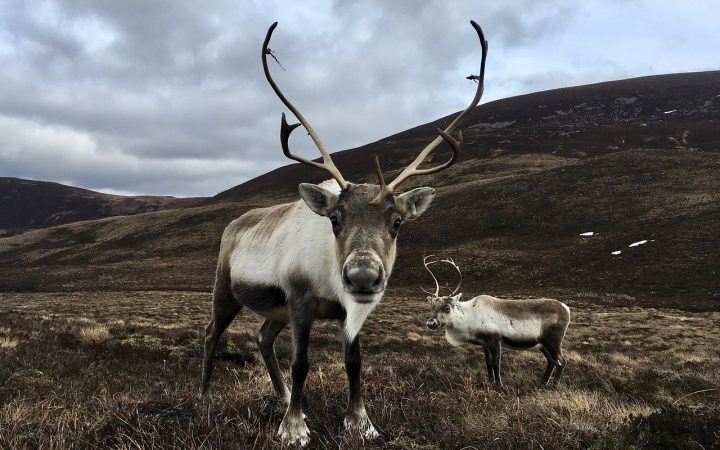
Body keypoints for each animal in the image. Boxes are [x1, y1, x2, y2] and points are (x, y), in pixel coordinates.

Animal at [200, 21, 489, 446]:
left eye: (397, 221)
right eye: (334, 219)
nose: (363, 276)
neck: (329, 279)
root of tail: (233, 224)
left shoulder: (342, 313)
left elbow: (354, 362)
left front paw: (360, 422)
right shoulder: (300, 301)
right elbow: (301, 362)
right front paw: (294, 427)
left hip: (275, 308)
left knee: (263, 338)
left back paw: (282, 395)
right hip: (226, 289)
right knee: (212, 333)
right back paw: (205, 396)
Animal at [423, 257, 570, 387]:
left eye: (447, 308)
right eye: (432, 307)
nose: (431, 323)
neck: (471, 317)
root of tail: (566, 308)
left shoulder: (495, 339)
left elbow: (496, 363)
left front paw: (499, 385)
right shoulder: (485, 343)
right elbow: (488, 363)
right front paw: (490, 382)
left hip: (553, 341)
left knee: (561, 362)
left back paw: (554, 385)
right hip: (542, 344)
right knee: (552, 361)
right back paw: (543, 383)